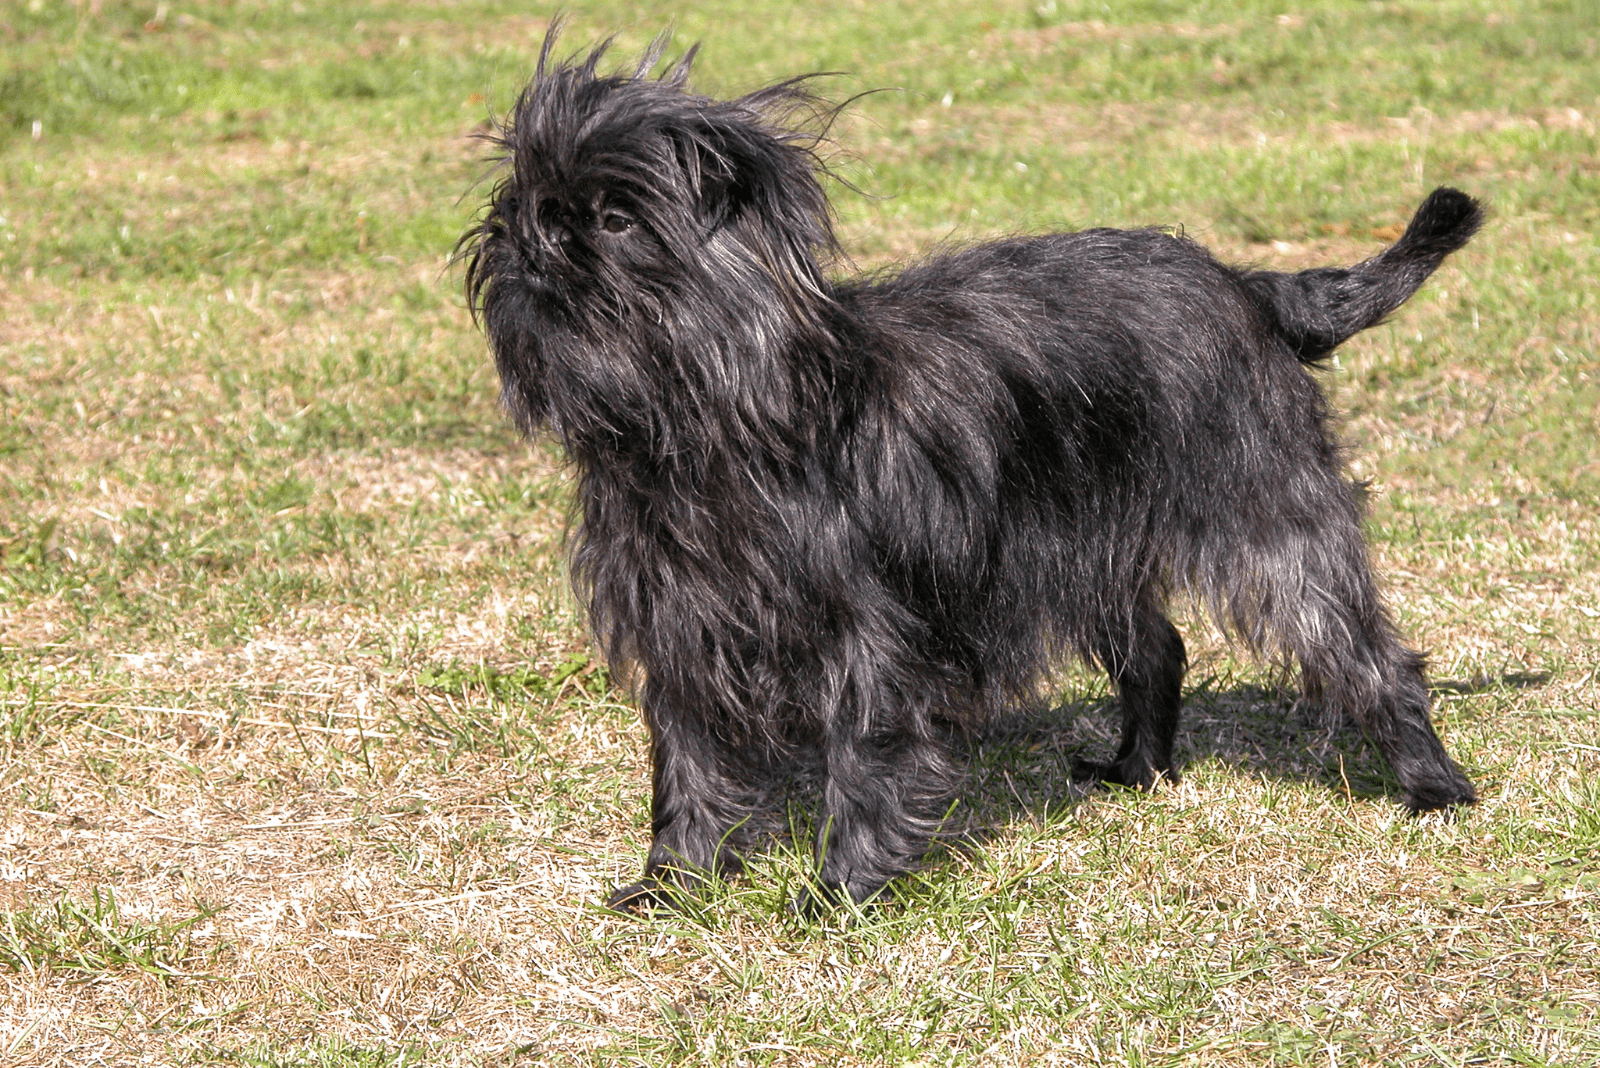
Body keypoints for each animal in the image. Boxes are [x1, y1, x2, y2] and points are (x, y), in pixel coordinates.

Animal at [457, 31, 1478, 908]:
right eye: (517, 203)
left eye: (613, 217)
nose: (531, 237)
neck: (715, 425)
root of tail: (1248, 286)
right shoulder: (679, 625)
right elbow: (688, 762)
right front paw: (675, 881)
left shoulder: (869, 637)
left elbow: (864, 753)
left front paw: (843, 891)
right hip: (1090, 543)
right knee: (1158, 650)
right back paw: (1136, 770)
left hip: (1269, 524)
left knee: (1370, 653)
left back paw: (1433, 785)